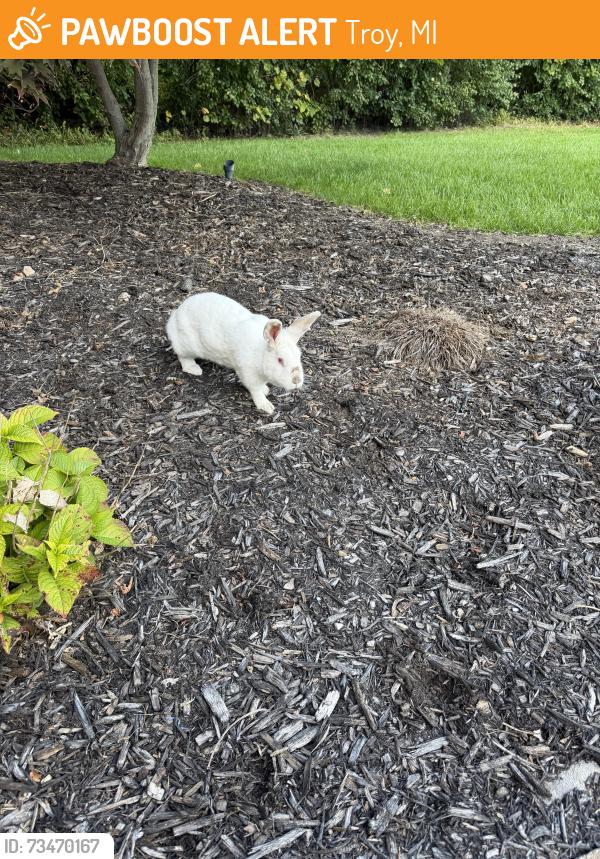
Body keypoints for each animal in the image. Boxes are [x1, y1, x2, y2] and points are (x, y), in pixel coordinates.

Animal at [166, 292, 321, 415]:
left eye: (299, 356)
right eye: (280, 360)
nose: (296, 381)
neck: (261, 354)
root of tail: (175, 315)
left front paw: (266, 390)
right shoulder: (248, 374)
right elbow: (255, 391)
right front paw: (266, 406)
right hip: (186, 344)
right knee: (183, 356)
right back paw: (194, 369)